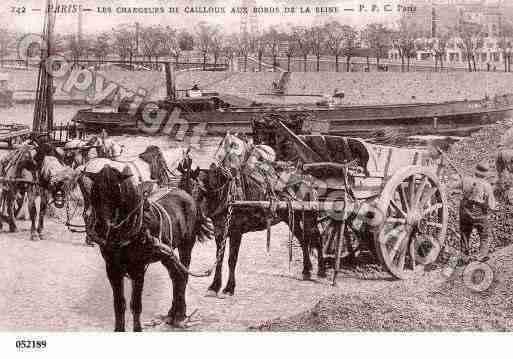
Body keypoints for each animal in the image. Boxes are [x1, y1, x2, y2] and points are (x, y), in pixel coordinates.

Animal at [82, 165, 202, 332]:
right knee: (176, 276)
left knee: (183, 275)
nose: (100, 227)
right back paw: (172, 314)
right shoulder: (112, 268)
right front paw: (119, 329)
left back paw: (180, 315)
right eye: (94, 191)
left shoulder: (137, 269)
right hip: (167, 254)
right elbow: (119, 304)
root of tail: (186, 193)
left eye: (116, 190)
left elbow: (136, 304)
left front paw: (137, 329)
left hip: (186, 245)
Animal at [178, 133, 326, 298]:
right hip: (290, 217)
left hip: (309, 216)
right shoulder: (220, 230)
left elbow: (231, 260)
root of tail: (308, 178)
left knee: (317, 237)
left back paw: (321, 271)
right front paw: (214, 286)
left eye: (196, 192)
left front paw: (229, 288)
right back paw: (306, 270)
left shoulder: (236, 232)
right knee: (303, 239)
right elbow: (219, 258)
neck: (226, 195)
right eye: (179, 188)